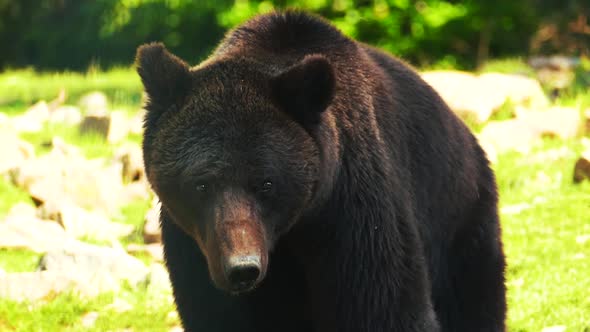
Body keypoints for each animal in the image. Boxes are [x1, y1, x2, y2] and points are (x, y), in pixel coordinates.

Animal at [136, 9, 506, 330]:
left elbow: (383, 305)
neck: (291, 230)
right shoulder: (194, 244)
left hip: (458, 221)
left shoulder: (352, 211)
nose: (242, 268)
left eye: (266, 183)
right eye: (201, 184)